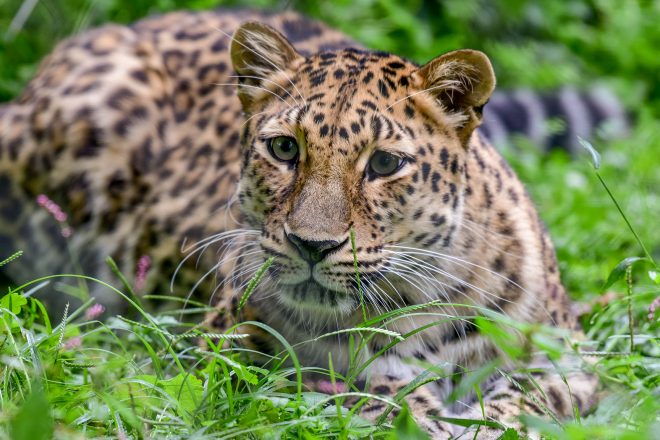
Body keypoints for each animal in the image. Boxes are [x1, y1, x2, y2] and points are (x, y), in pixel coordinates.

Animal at [0, 7, 600, 440]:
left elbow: (526, 395)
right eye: (285, 148)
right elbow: (356, 389)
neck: (419, 306)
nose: (312, 246)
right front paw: (419, 413)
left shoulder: (572, 360)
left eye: (385, 164)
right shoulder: (230, 351)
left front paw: (483, 422)